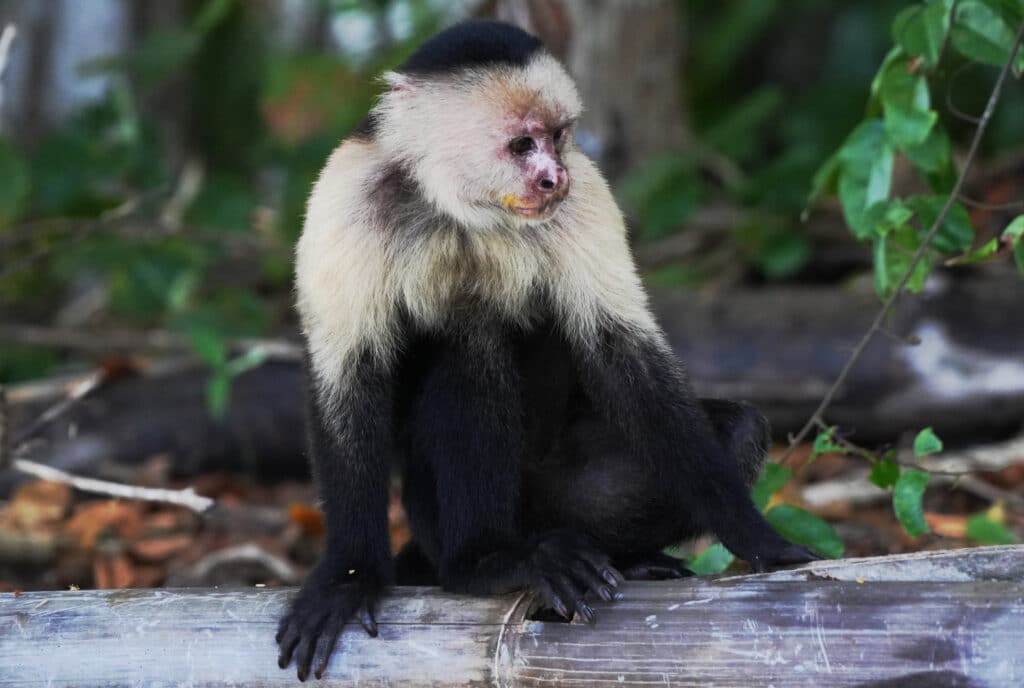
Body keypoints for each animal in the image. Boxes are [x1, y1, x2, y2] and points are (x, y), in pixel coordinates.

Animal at [277, 20, 816, 680]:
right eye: (520, 145)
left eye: (557, 138)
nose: (554, 177)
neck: (461, 210)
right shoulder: (347, 197)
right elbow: (348, 377)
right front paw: (348, 577)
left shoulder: (586, 197)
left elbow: (626, 359)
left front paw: (757, 537)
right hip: (435, 511)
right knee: (470, 339)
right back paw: (481, 561)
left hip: (563, 499)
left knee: (733, 430)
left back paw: (619, 558)